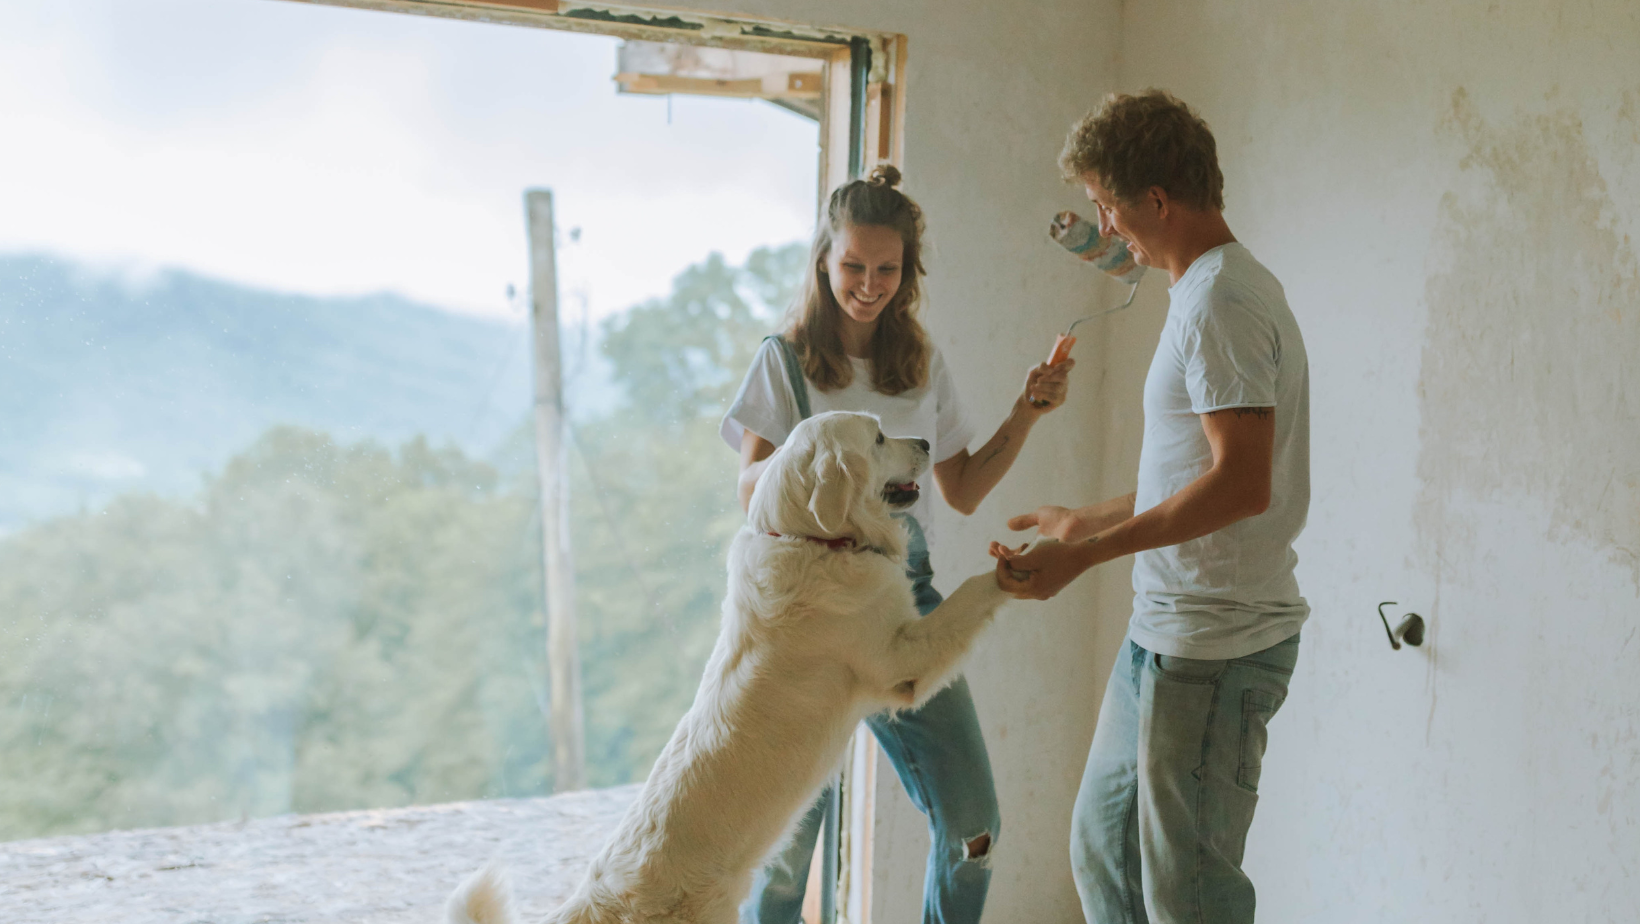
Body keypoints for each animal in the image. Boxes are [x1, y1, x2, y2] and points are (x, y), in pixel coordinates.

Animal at [449, 411, 1010, 924]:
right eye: (876, 437)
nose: (926, 442)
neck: (811, 539)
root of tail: (590, 901)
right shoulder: (902, 659)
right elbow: (968, 596)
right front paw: (1014, 567)